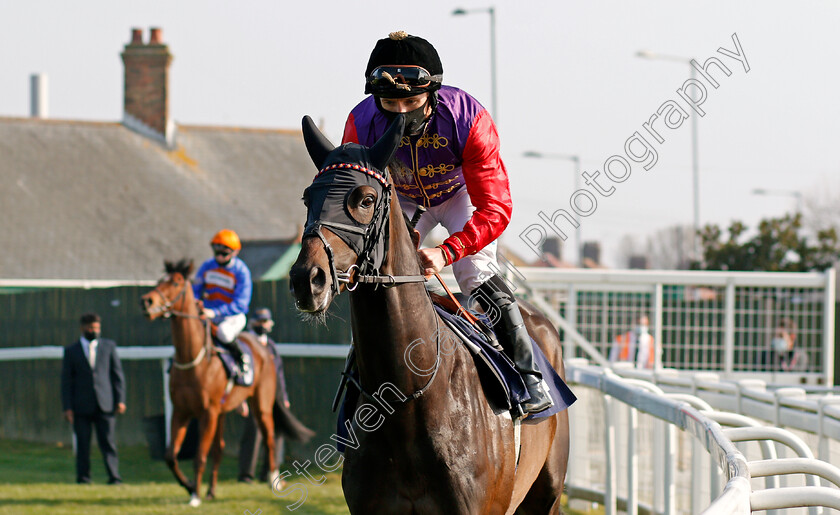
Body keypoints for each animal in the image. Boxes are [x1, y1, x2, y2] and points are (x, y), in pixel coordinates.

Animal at [142, 262, 278, 508]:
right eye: (158, 281)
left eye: (175, 282)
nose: (146, 301)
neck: (193, 358)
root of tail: (263, 347)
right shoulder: (182, 411)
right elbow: (170, 456)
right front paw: (189, 486)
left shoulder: (207, 413)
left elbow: (199, 457)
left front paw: (194, 495)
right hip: (221, 413)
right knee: (219, 450)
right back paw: (212, 491)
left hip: (261, 406)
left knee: (270, 439)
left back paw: (275, 481)